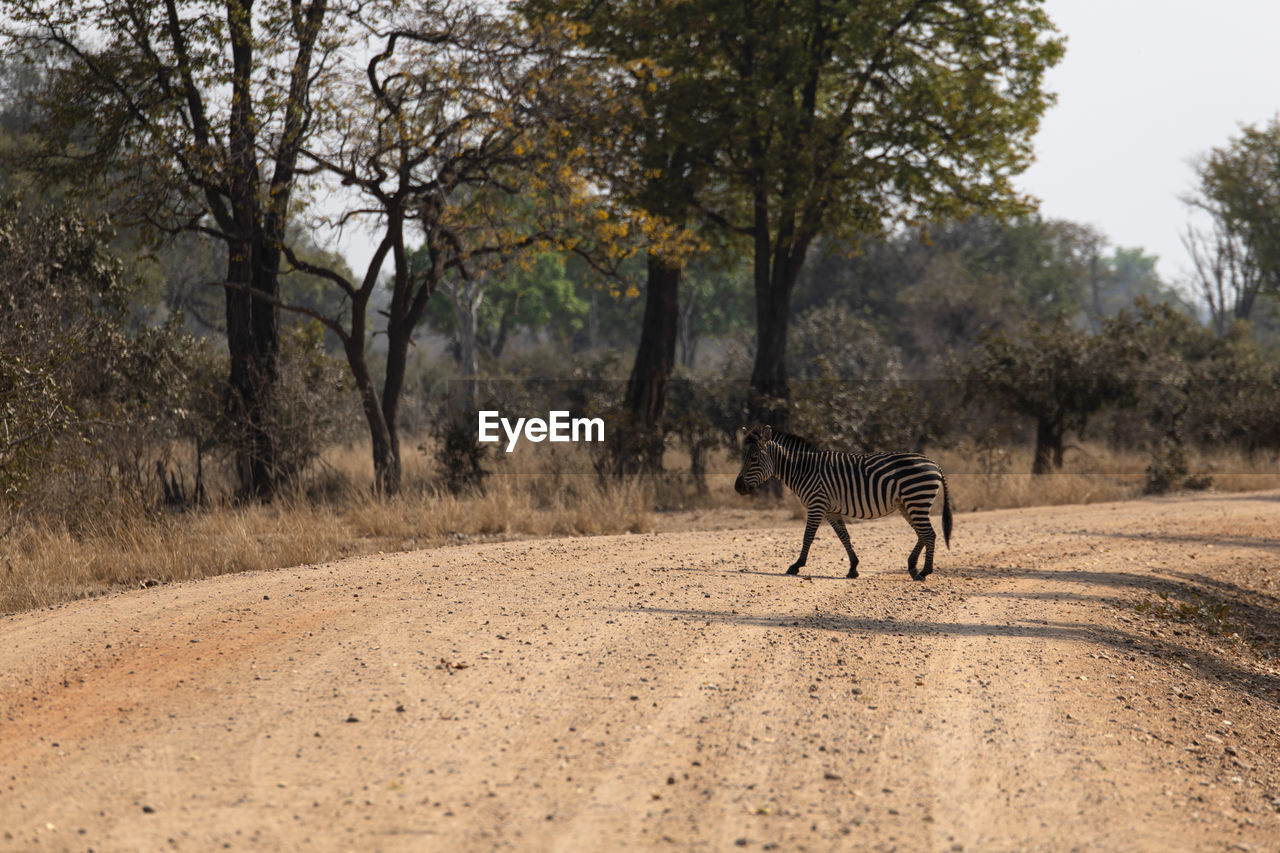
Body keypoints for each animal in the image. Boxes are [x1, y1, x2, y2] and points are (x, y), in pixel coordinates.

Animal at [737, 422, 957, 578]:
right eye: (745, 458)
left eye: (754, 458)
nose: (737, 487)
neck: (803, 469)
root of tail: (935, 463)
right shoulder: (830, 510)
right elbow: (844, 536)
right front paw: (853, 567)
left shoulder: (817, 504)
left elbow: (808, 536)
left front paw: (796, 565)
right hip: (907, 504)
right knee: (922, 534)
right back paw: (912, 566)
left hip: (916, 499)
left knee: (929, 534)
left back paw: (925, 571)